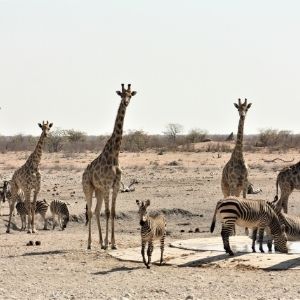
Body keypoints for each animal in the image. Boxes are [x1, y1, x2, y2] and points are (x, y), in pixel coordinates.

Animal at [82, 83, 138, 250]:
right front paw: (108, 243)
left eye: (130, 95)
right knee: (91, 211)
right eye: (122, 95)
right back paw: (90, 244)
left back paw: (100, 242)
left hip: (99, 190)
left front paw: (113, 243)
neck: (114, 155)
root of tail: (83, 173)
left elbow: (112, 212)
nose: (126, 102)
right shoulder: (107, 185)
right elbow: (107, 212)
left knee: (96, 210)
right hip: (88, 188)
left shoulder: (115, 185)